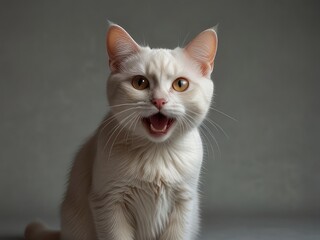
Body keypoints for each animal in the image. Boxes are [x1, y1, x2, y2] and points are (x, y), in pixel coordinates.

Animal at [25, 23, 218, 240]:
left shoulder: (183, 202)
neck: (156, 153)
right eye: (140, 83)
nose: (159, 100)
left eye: (180, 84)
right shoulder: (108, 201)